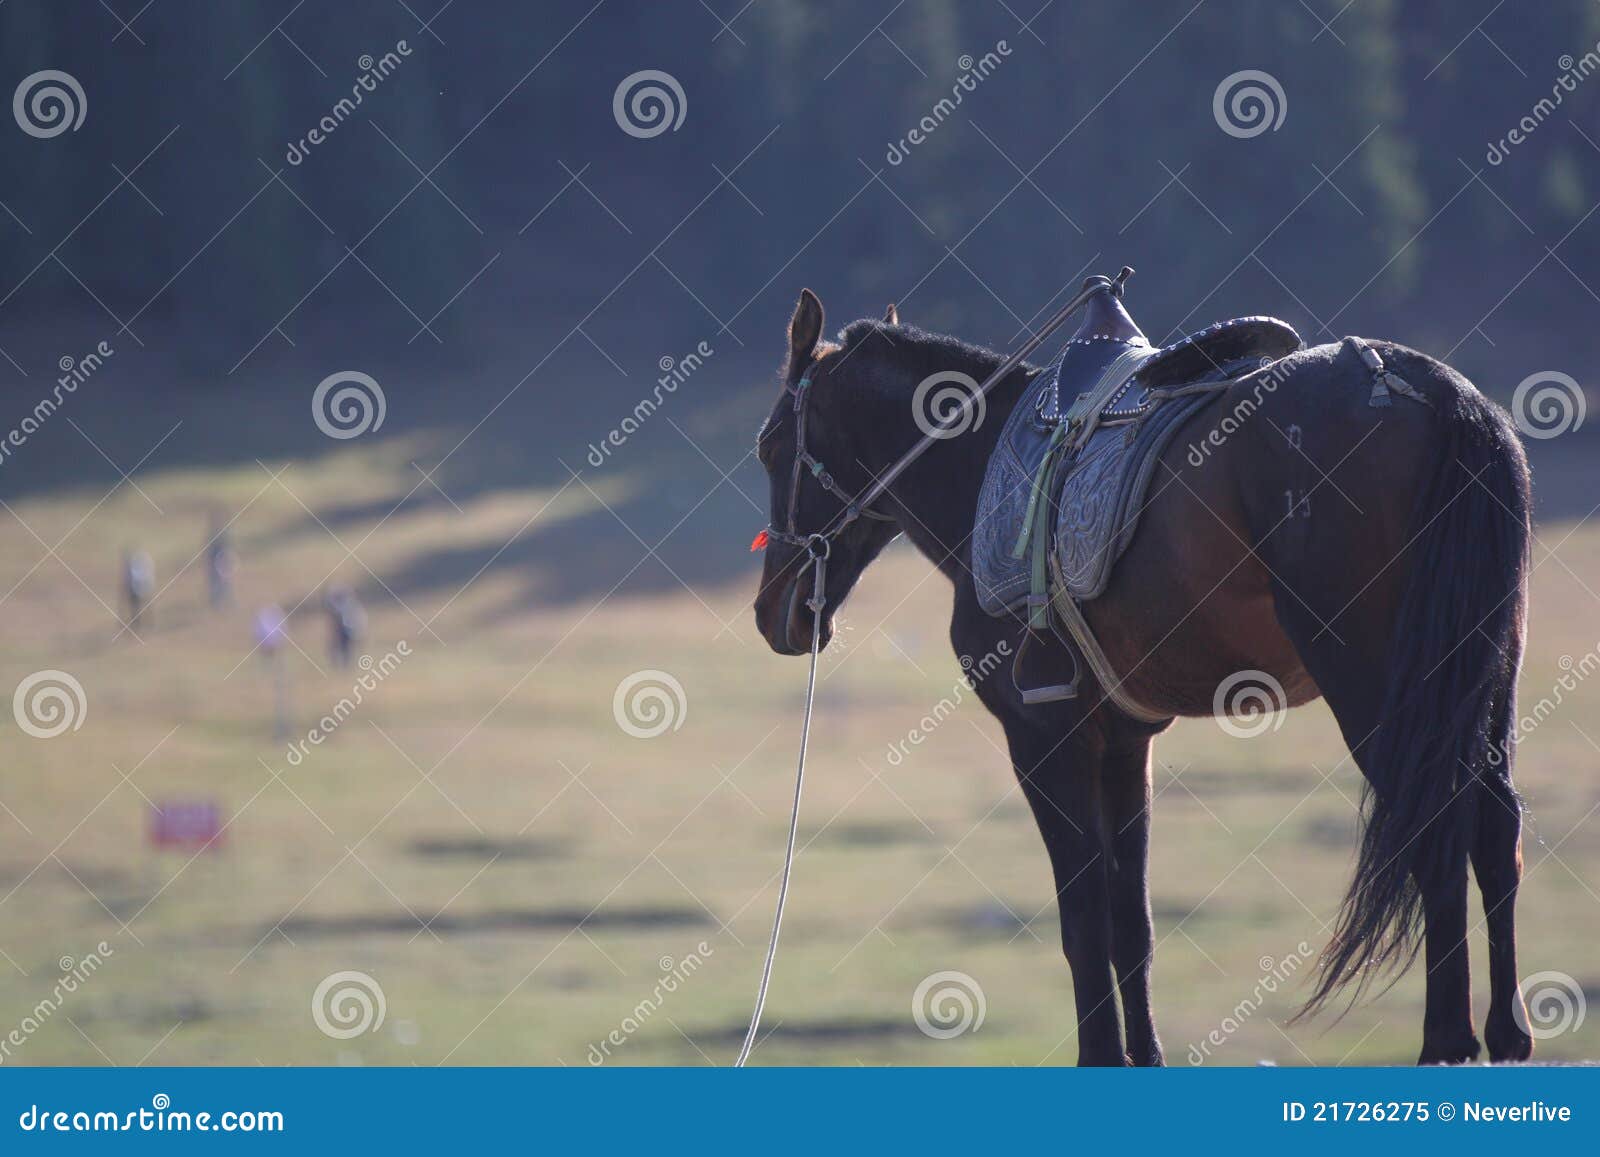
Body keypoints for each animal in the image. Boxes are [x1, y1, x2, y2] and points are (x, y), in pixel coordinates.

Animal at [751, 287, 1535, 1066]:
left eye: (769, 447)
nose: (770, 610)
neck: (978, 469)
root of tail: (1429, 389)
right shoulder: (1124, 745)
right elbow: (1131, 922)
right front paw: (1144, 1053)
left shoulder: (1045, 739)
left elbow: (1083, 920)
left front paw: (1100, 1052)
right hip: (1484, 680)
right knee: (1495, 827)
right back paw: (1505, 1032)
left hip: (1379, 690)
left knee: (1436, 823)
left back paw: (1447, 1039)